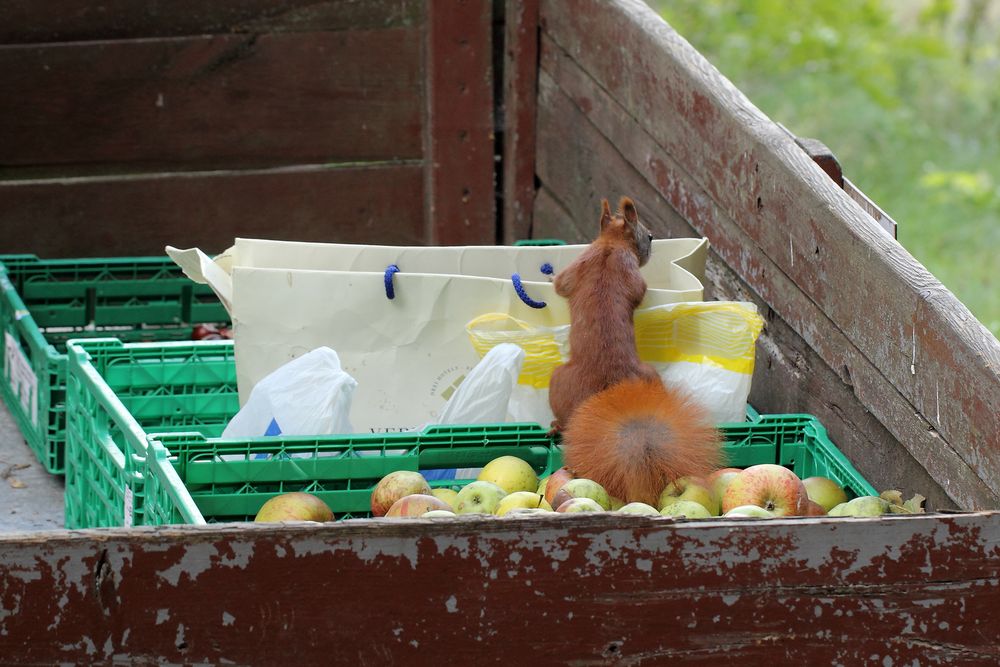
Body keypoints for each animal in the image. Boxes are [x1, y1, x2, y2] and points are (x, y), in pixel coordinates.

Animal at [552, 198, 724, 506]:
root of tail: (610, 384)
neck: (610, 246)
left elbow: (561, 284)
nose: (651, 248)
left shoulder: (580, 265)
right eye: (650, 236)